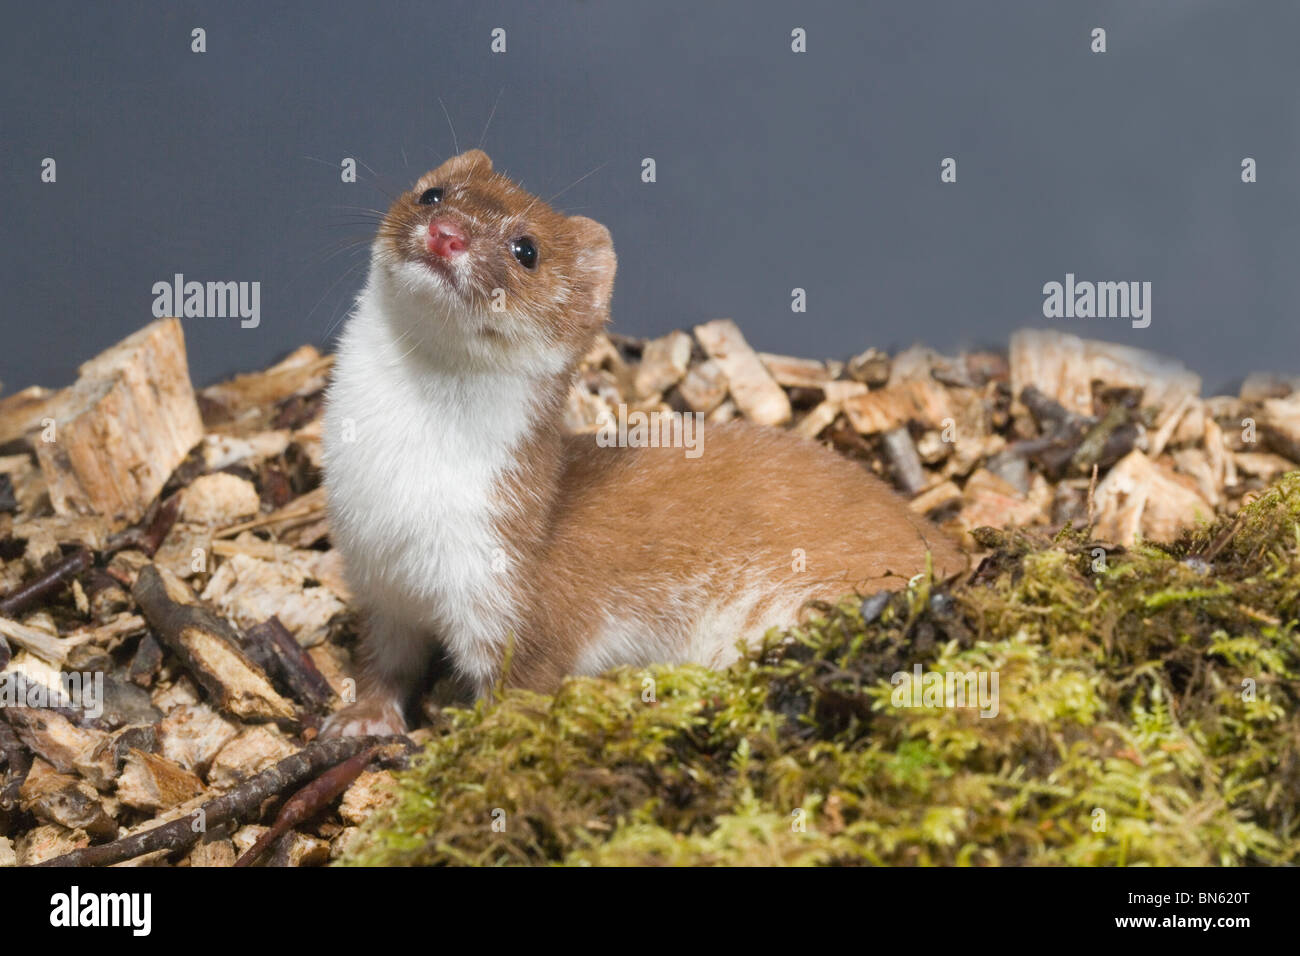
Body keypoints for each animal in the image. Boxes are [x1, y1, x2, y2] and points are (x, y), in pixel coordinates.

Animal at [315, 147, 967, 738]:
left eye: (527, 249)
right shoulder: (376, 586)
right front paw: (359, 720)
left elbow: (521, 687)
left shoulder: (511, 592)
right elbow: (383, 664)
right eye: (433, 194)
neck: (403, 502)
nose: (447, 234)